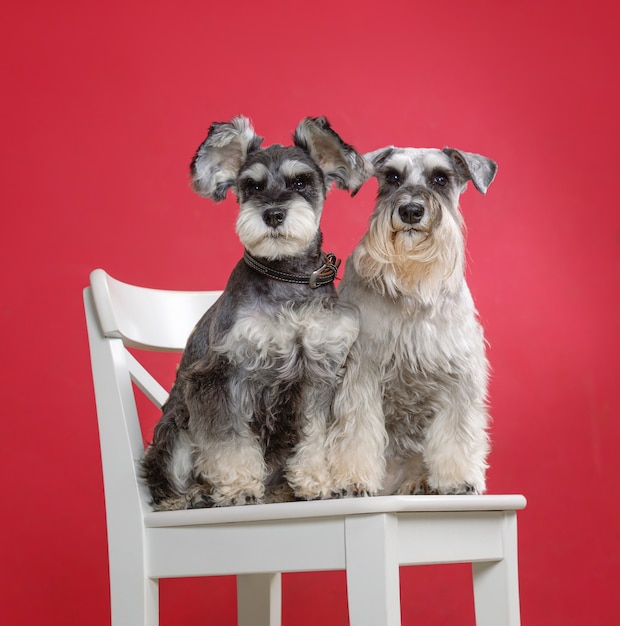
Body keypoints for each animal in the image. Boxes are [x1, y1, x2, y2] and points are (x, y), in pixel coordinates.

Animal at [143, 114, 370, 510]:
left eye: (300, 181)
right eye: (251, 186)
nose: (273, 214)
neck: (285, 276)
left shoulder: (317, 374)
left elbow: (314, 433)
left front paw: (315, 482)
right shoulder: (221, 374)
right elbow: (228, 440)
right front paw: (238, 489)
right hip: (176, 433)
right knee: (166, 479)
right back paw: (191, 496)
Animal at [330, 144, 498, 494]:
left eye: (441, 178)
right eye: (392, 177)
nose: (410, 210)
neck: (412, 285)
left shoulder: (459, 372)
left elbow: (458, 431)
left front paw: (459, 479)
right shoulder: (361, 368)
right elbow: (356, 428)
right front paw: (353, 479)